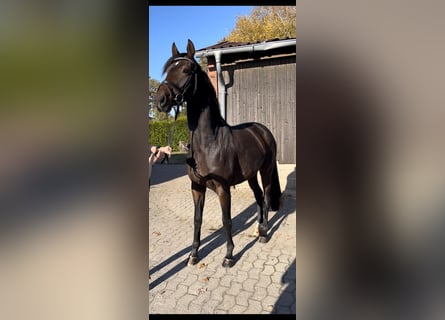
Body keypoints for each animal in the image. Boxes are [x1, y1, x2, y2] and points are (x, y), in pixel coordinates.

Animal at [156, 38, 280, 266]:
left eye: (186, 70)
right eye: (168, 70)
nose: (161, 100)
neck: (209, 143)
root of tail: (262, 131)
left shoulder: (223, 189)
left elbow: (226, 220)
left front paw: (229, 255)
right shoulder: (196, 187)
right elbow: (197, 219)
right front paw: (193, 254)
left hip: (266, 170)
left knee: (266, 197)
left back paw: (265, 233)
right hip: (251, 175)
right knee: (258, 196)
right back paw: (258, 229)